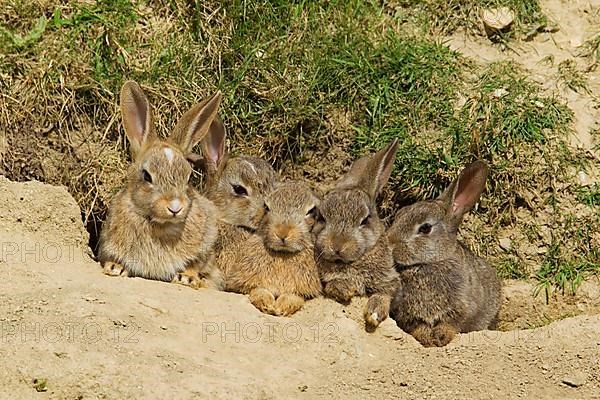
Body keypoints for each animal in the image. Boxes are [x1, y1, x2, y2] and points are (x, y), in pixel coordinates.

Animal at [98, 79, 223, 290]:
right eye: (147, 176)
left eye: (188, 177)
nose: (175, 207)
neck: (160, 225)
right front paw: (115, 268)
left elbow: (196, 264)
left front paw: (186, 278)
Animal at [227, 181, 324, 316]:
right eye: (267, 207)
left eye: (311, 211)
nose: (282, 232)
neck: (282, 253)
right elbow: (258, 290)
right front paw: (267, 304)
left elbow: (295, 296)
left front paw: (282, 308)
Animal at [314, 139, 404, 332]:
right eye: (322, 217)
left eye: (365, 219)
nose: (337, 245)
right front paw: (345, 288)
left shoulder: (390, 282)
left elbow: (384, 294)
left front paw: (374, 314)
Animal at [384, 159, 502, 346]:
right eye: (398, 215)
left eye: (425, 228)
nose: (390, 243)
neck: (429, 263)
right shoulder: (407, 315)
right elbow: (417, 327)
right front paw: (426, 337)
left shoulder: (462, 308)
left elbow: (451, 324)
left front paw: (441, 336)